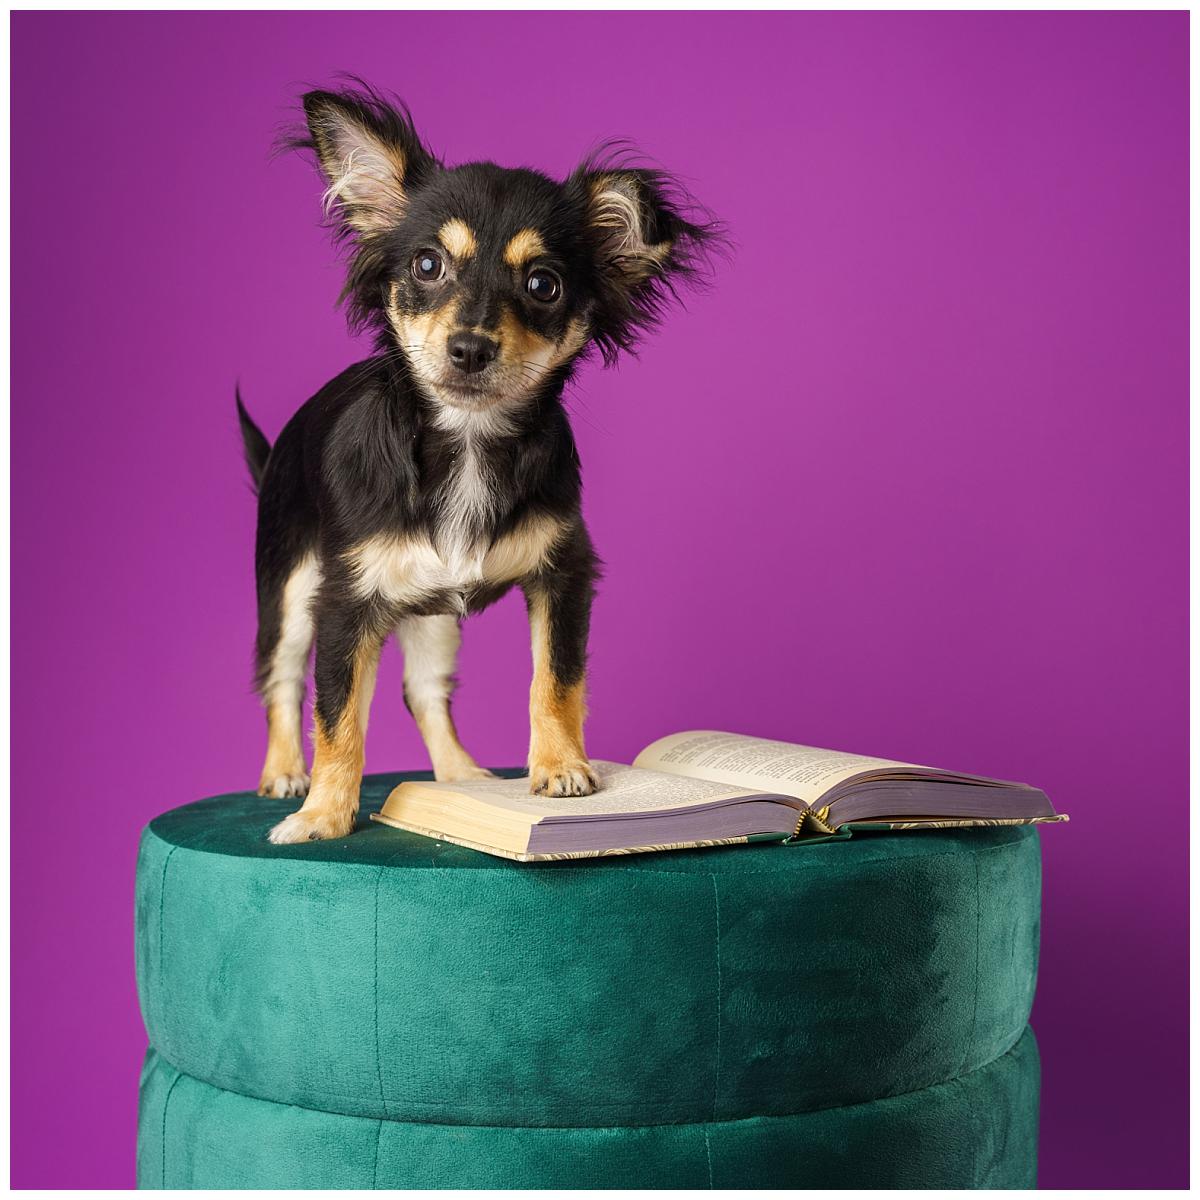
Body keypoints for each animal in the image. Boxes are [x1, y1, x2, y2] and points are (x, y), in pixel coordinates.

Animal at [238, 82, 715, 844]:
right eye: (428, 266)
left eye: (544, 285)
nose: (469, 347)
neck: (466, 440)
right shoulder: (345, 603)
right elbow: (337, 717)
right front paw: (324, 814)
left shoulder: (564, 575)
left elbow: (555, 680)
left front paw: (560, 768)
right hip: (288, 587)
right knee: (282, 678)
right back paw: (285, 774)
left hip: (433, 612)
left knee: (423, 689)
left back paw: (460, 778)